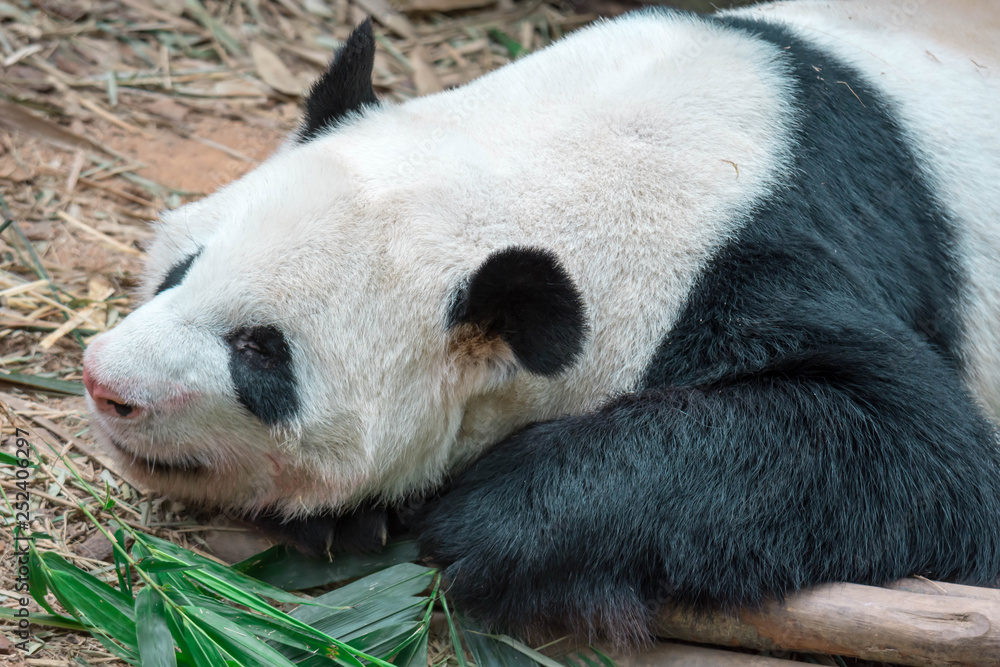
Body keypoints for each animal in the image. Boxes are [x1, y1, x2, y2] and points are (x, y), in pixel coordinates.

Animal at [82, 0, 1000, 643]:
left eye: (260, 353)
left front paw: (484, 521)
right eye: (180, 271)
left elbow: (926, 459)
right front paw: (348, 517)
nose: (106, 384)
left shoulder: (765, 248)